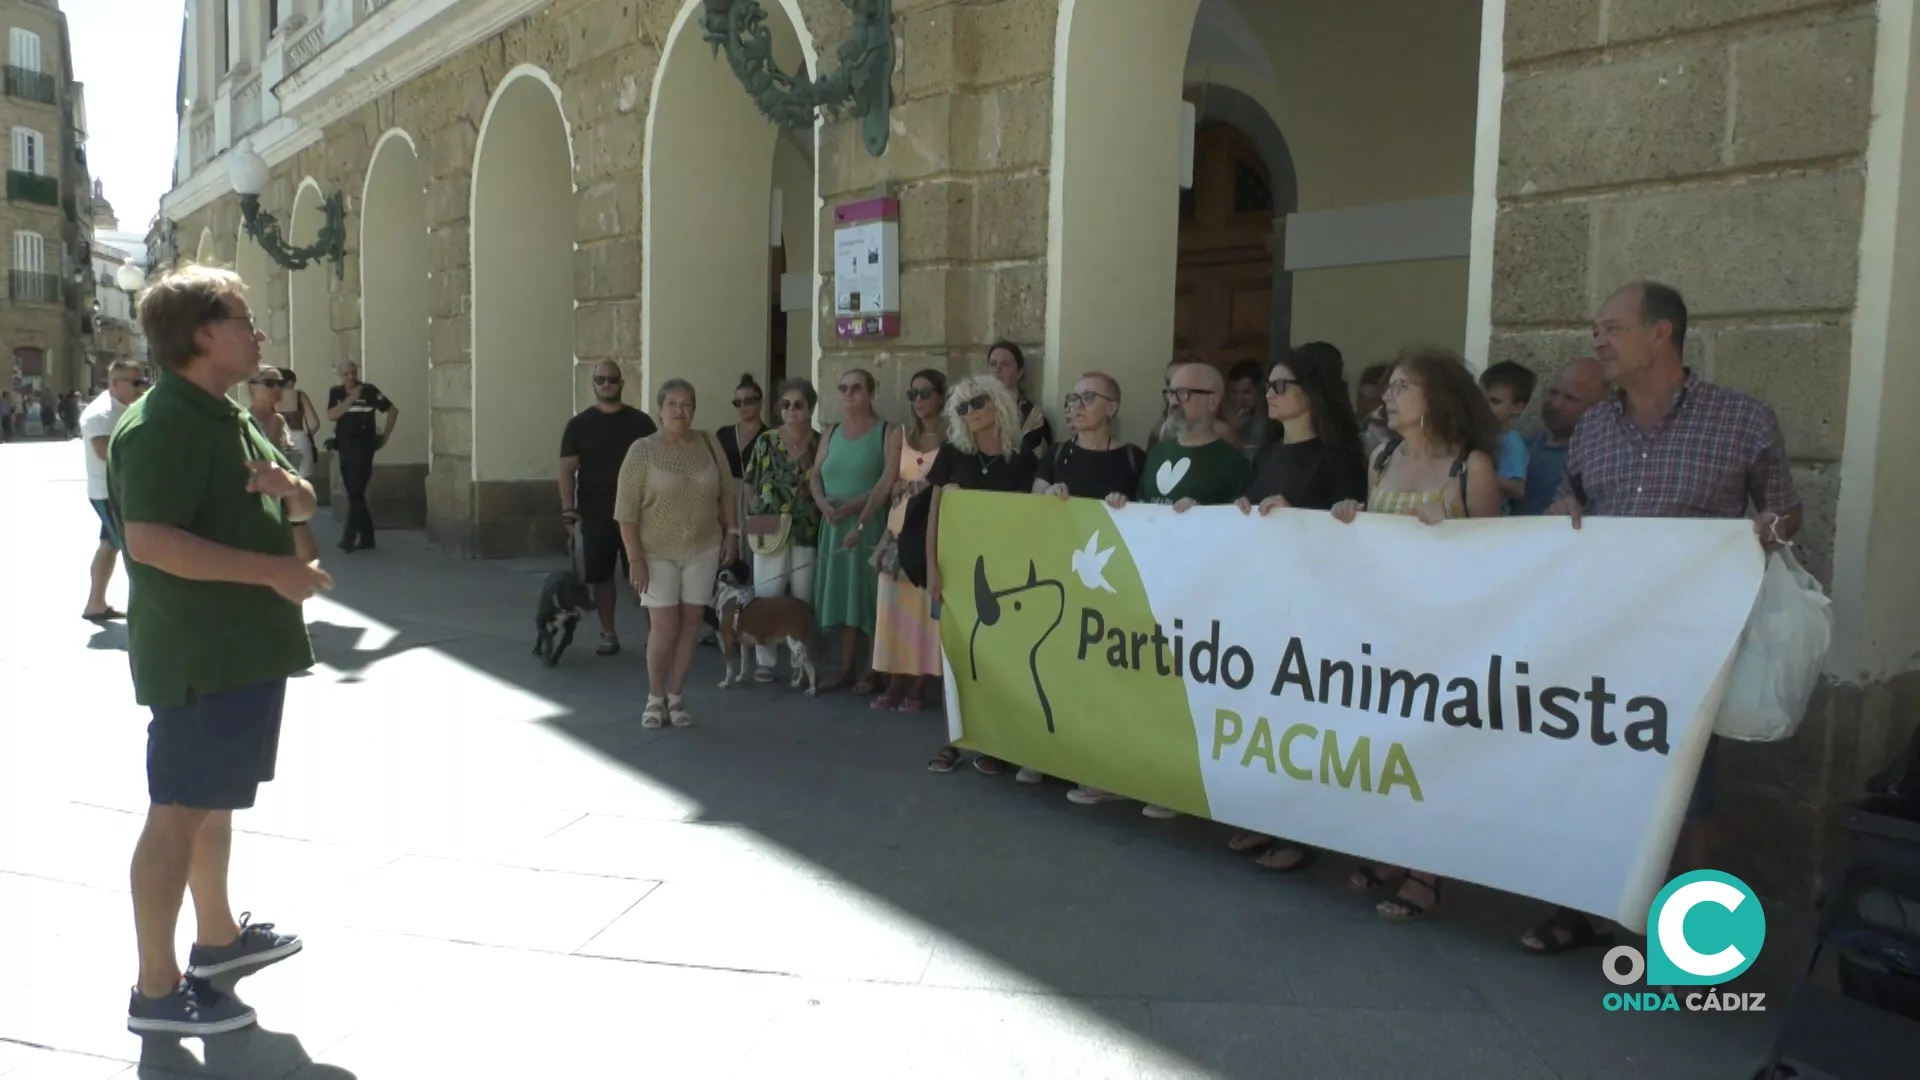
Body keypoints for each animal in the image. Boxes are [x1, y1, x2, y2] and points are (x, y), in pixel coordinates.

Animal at [714, 553, 817, 687]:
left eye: (734, 567)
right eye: (722, 565)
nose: (723, 575)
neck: (731, 591)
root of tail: (806, 607)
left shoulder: (728, 639)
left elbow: (729, 667)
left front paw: (726, 682)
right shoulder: (743, 642)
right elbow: (744, 664)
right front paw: (741, 677)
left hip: (795, 642)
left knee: (810, 668)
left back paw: (812, 688)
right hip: (797, 644)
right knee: (802, 666)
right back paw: (797, 682)